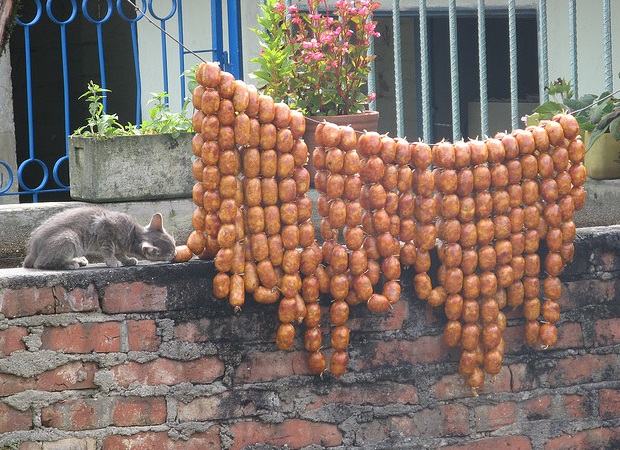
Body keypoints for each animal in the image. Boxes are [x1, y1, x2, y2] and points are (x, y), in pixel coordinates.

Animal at [23, 207, 176, 268]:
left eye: (174, 246)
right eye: (169, 253)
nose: (175, 255)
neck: (132, 233)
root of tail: (32, 251)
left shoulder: (119, 244)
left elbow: (120, 252)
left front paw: (127, 260)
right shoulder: (104, 232)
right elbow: (109, 251)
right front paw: (113, 261)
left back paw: (78, 259)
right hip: (69, 237)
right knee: (40, 263)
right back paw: (69, 263)